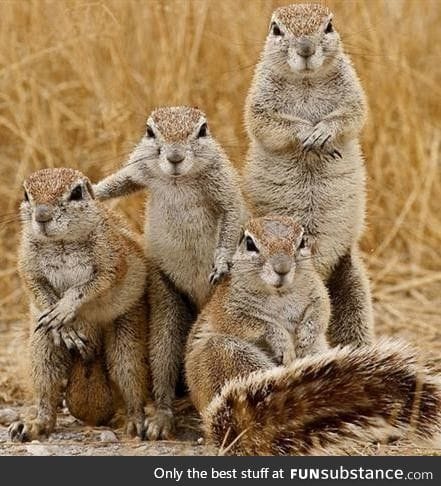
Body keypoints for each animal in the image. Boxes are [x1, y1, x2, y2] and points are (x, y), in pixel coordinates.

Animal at [8, 167, 149, 440]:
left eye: (76, 193)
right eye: (26, 194)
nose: (42, 216)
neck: (61, 243)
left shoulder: (112, 257)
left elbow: (90, 285)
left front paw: (65, 308)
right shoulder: (26, 263)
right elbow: (36, 287)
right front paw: (64, 328)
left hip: (127, 335)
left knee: (129, 376)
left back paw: (136, 421)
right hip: (41, 346)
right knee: (47, 388)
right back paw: (33, 424)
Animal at [94, 106, 244, 440]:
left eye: (202, 130)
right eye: (151, 132)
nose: (175, 157)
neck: (178, 180)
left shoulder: (222, 181)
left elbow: (231, 214)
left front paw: (221, 263)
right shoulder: (140, 167)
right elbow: (119, 181)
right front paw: (90, 190)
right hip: (166, 298)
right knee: (164, 354)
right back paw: (162, 416)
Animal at [184, 216, 440, 456]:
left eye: (302, 241)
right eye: (250, 243)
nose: (282, 269)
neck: (280, 294)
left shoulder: (317, 291)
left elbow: (321, 311)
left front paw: (305, 334)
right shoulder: (229, 309)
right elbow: (256, 323)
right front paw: (281, 339)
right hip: (227, 354)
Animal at [242, 1, 372, 348]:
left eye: (328, 26)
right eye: (276, 29)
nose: (305, 49)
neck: (306, 81)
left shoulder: (352, 92)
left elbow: (352, 114)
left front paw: (323, 133)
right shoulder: (259, 100)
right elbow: (268, 122)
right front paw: (305, 133)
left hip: (352, 283)